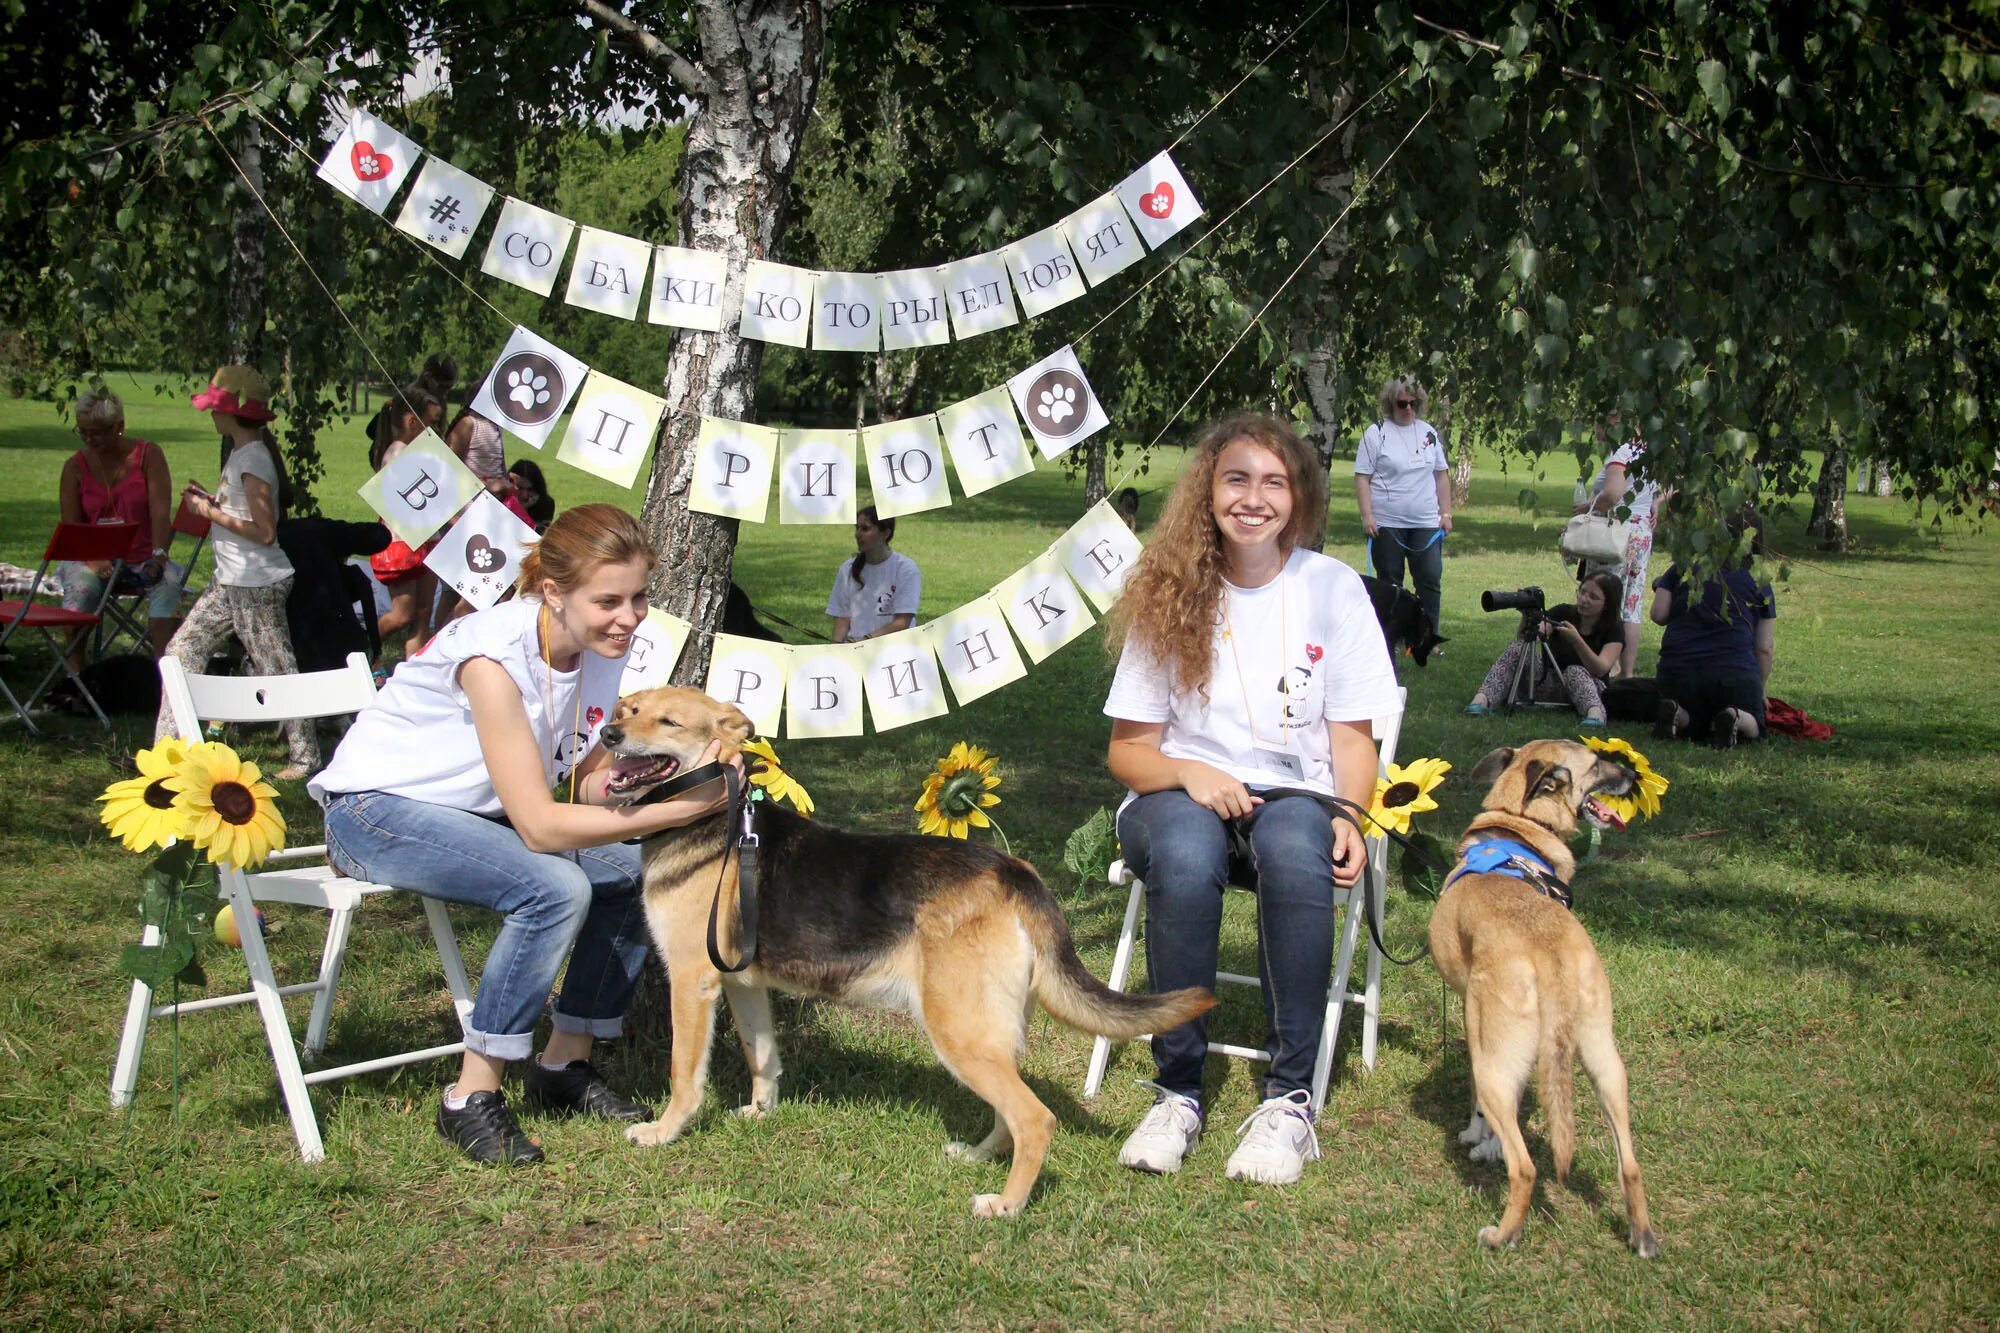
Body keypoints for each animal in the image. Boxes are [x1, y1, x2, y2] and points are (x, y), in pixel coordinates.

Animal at [596, 684, 1216, 1216]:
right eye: (629, 710)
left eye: (668, 722)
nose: (608, 734)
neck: (713, 815)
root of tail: (1014, 871)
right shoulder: (745, 984)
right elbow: (763, 1055)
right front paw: (759, 1112)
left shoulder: (691, 981)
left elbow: (684, 1073)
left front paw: (664, 1132)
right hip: (988, 1031)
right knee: (1010, 1111)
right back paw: (979, 1156)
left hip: (957, 1031)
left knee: (1035, 1119)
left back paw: (1006, 1205)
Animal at [1432, 736, 1664, 1256]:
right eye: (1596, 764)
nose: (1634, 776)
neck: (1519, 823)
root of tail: (1548, 950)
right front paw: (1487, 1144)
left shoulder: (1474, 1027)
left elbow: (1478, 1105)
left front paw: (1477, 1140)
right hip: (1605, 1061)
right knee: (1630, 1164)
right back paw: (1641, 1236)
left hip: (1495, 1064)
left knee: (1526, 1168)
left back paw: (1502, 1235)